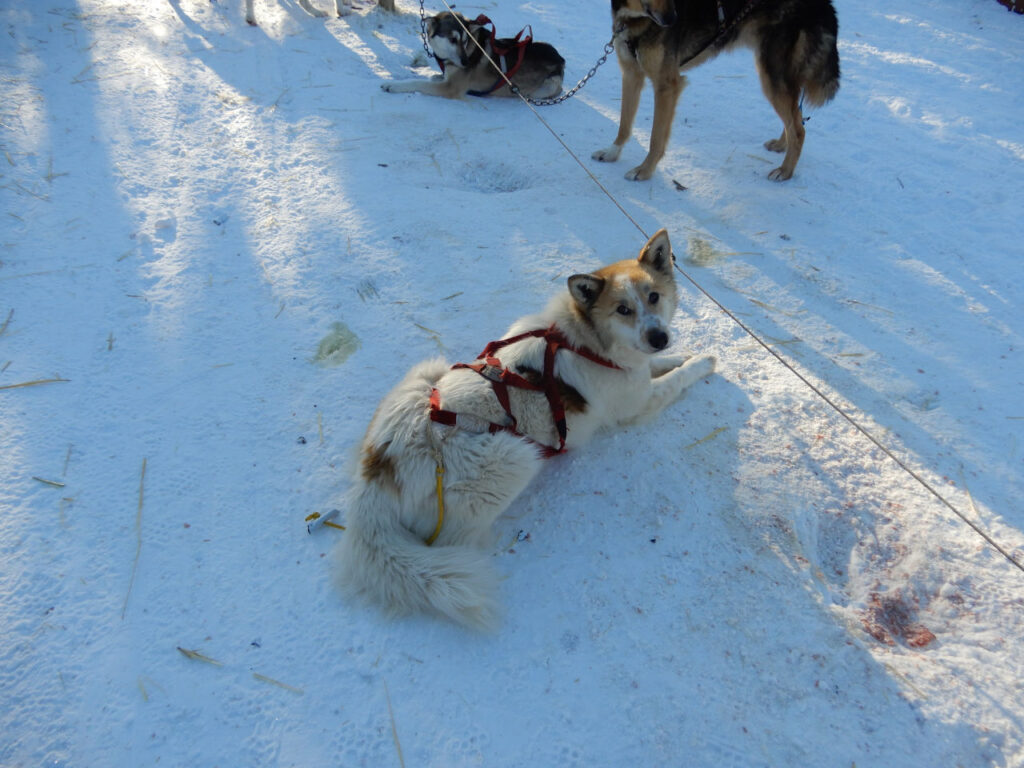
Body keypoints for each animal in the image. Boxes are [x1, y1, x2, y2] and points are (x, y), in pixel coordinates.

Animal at [335, 230, 712, 630]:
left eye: (654, 297)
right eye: (622, 310)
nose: (659, 337)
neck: (587, 340)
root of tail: (378, 474)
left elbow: (659, 365)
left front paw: (680, 355)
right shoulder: (638, 404)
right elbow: (677, 379)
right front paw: (704, 362)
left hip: (425, 373)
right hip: (514, 456)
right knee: (452, 538)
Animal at [593, 0, 839, 182]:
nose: (673, 19)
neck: (634, 18)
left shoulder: (666, 85)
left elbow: (656, 138)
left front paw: (644, 171)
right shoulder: (631, 75)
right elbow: (624, 124)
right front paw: (612, 152)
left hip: (772, 77)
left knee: (799, 129)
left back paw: (785, 171)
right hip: (777, 78)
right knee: (795, 118)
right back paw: (781, 145)